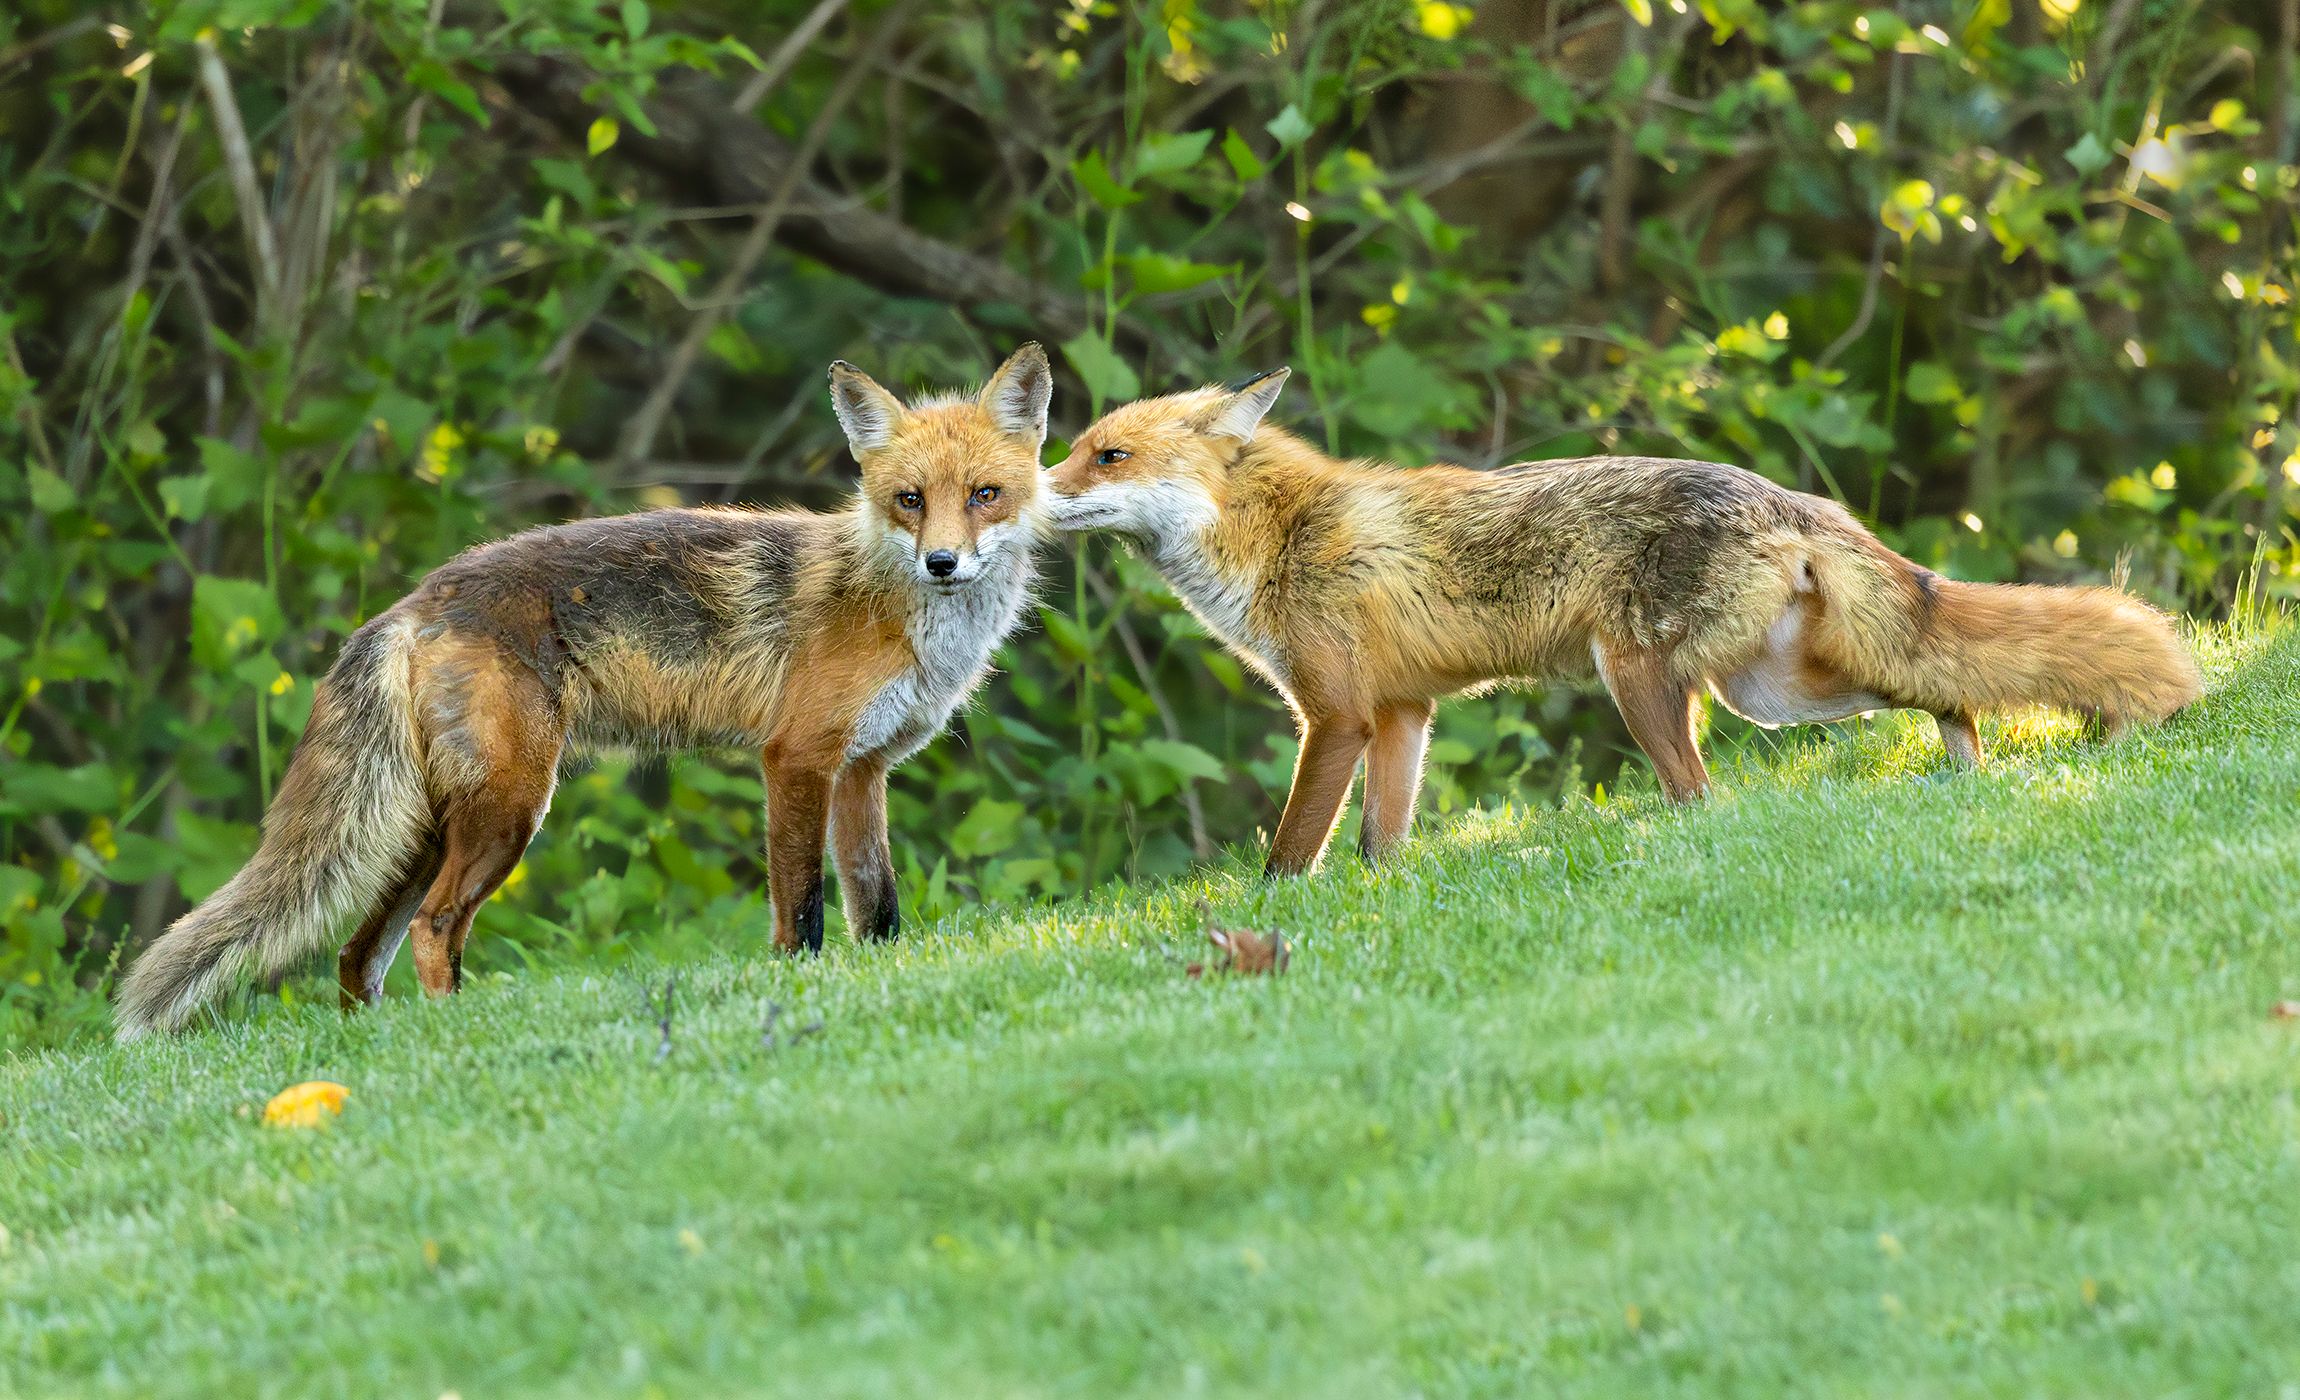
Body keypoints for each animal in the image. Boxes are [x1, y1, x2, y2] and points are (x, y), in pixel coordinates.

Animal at [114, 344, 1054, 1039]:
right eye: (909, 500)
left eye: (984, 495)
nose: (943, 563)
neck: (897, 612)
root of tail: (416, 598)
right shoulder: (797, 758)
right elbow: (804, 909)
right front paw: (795, 988)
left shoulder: (863, 771)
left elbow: (878, 909)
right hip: (507, 810)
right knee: (432, 927)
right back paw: (453, 1034)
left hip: (427, 825)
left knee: (356, 953)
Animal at [1044, 368, 2203, 878]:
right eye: (1073, 449)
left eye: (1105, 455)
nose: (1022, 492)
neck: (1281, 535)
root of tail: (1790, 497)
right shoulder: (1404, 713)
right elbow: (1382, 840)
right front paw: (1384, 897)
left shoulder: (1334, 715)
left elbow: (1293, 848)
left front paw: (1281, 916)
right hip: (1776, 693)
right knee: (1945, 688)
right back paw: (1964, 771)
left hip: (1642, 679)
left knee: (1701, 797)